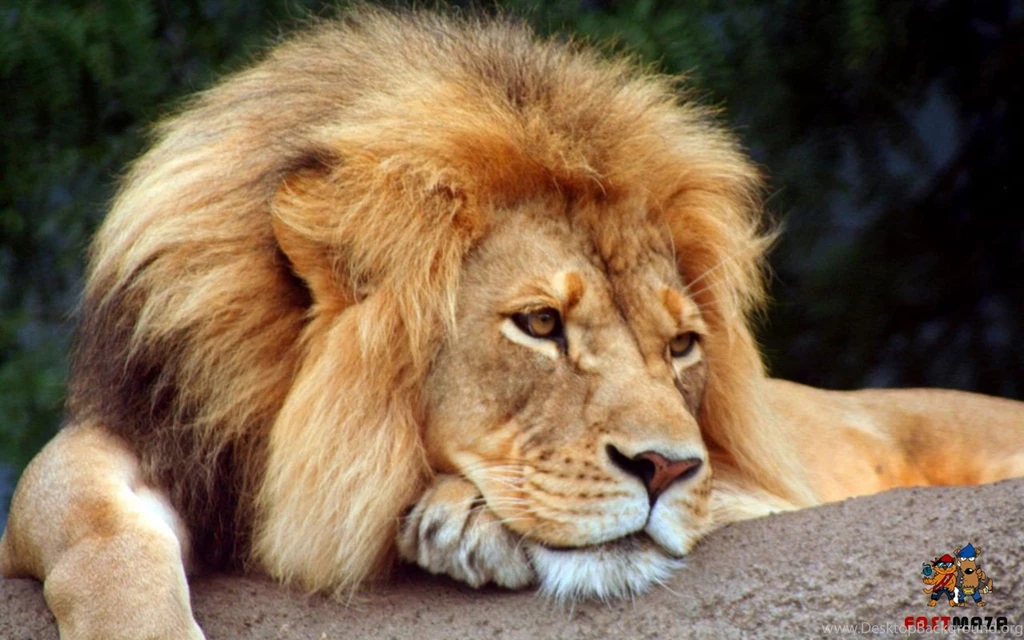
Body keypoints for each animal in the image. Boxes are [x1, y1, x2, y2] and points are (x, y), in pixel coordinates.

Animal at [1, 7, 1022, 639]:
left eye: (682, 346)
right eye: (539, 323)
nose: (665, 468)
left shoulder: (765, 487)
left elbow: (734, 497)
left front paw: (457, 518)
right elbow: (80, 515)